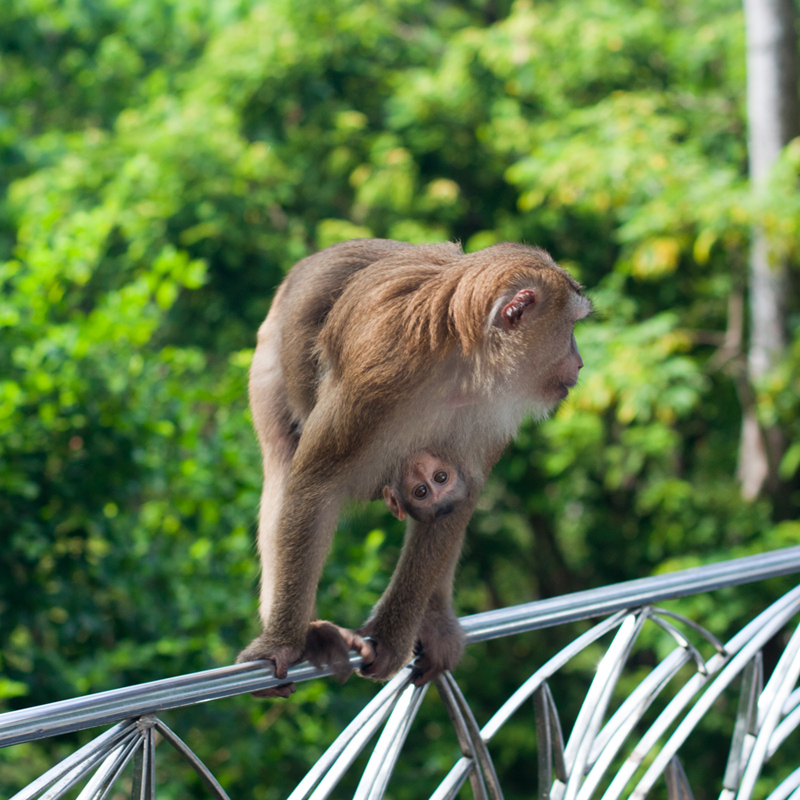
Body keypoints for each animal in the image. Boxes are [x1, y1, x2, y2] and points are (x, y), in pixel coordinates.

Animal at [234, 238, 592, 692]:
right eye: (570, 327)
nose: (579, 361)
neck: (461, 360)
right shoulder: (377, 377)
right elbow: (315, 485)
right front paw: (280, 644)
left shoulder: (492, 410)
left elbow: (463, 491)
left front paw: (393, 635)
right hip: (269, 356)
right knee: (283, 461)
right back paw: (306, 631)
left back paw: (434, 617)